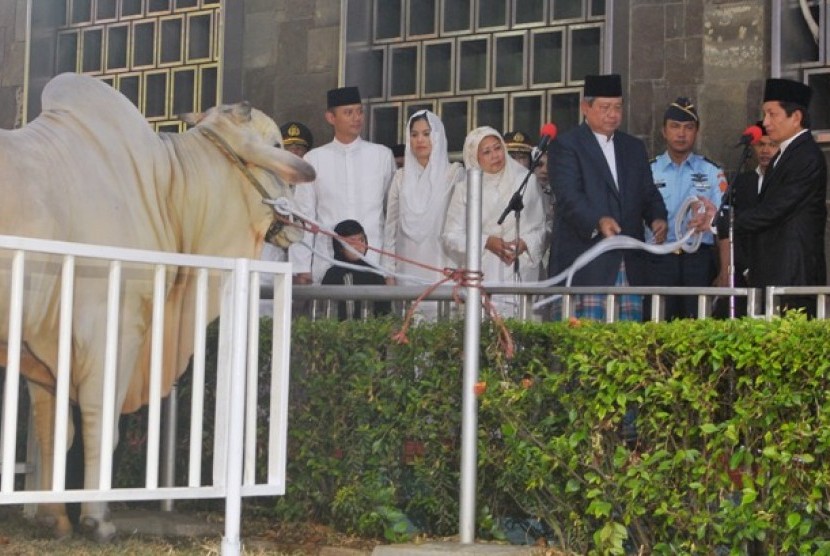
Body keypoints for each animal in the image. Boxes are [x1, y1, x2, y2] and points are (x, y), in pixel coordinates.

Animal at [0, 71, 316, 540]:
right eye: (277, 144)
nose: (298, 222)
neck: (166, 189)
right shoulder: (112, 327)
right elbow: (99, 423)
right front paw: (97, 520)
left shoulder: (44, 344)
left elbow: (53, 428)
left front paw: (54, 518)